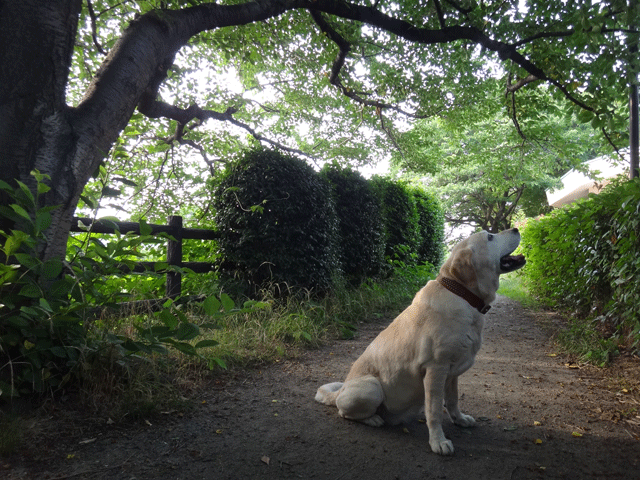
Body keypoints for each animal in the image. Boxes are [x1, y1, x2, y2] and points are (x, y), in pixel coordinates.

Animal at [314, 228, 524, 454]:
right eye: (490, 237)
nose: (516, 229)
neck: (462, 294)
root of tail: (341, 389)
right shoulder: (435, 368)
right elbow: (435, 410)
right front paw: (438, 441)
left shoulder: (452, 374)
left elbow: (452, 400)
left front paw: (459, 419)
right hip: (372, 387)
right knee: (343, 412)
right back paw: (373, 419)